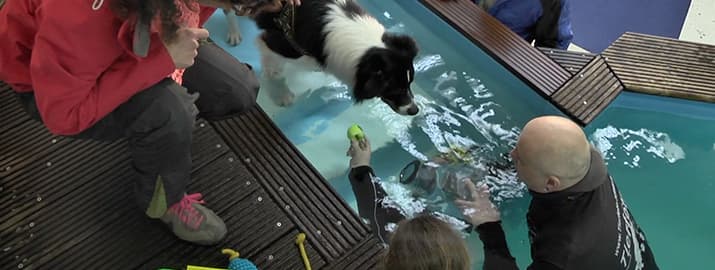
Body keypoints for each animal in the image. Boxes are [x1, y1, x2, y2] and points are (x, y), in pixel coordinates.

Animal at [252, 0, 420, 115]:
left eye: (410, 83)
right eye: (395, 89)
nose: (415, 110)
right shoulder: (279, 43)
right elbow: (275, 71)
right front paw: (282, 95)